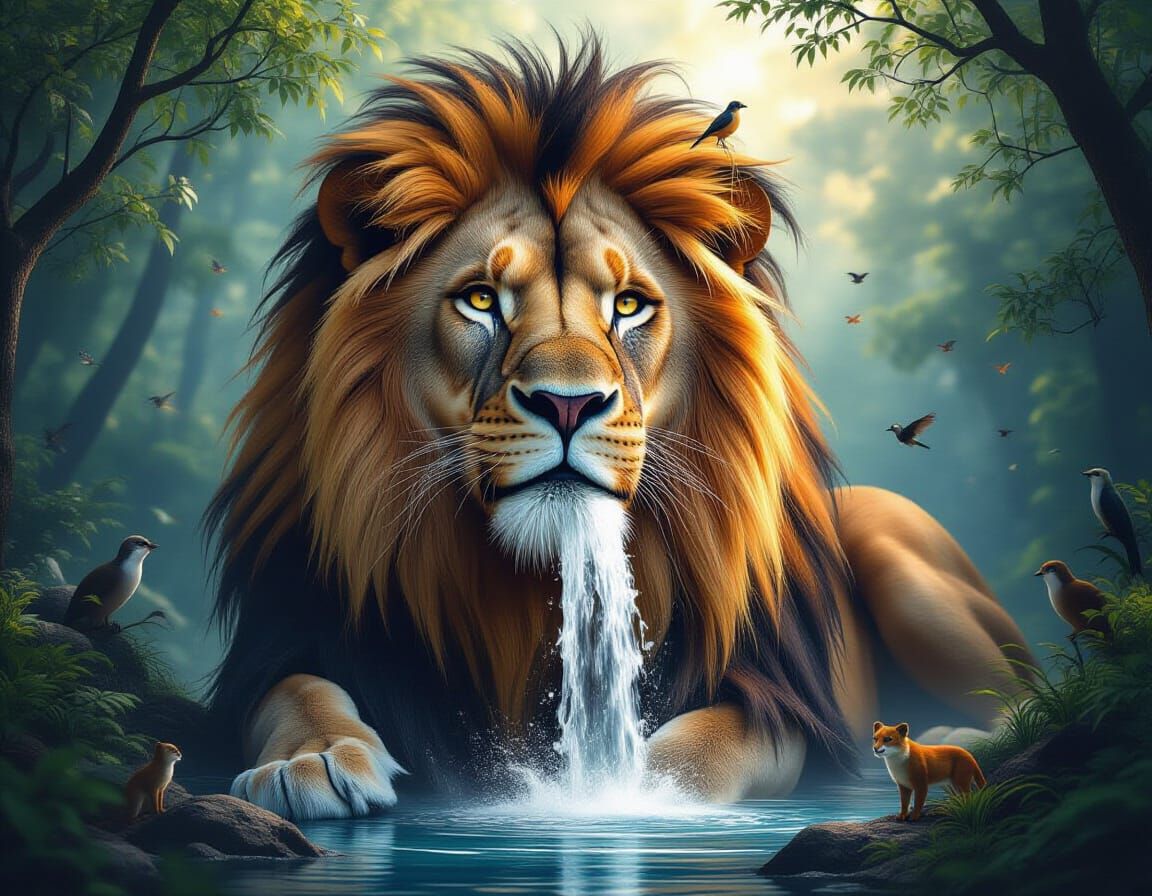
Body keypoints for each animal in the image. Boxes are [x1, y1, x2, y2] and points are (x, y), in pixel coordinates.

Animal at [207, 38, 1031, 820]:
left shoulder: (778, 701)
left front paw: (634, 794)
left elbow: (702, 744)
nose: (568, 405)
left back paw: (960, 738)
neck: (519, 595)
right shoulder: (286, 631)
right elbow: (297, 690)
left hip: (905, 562)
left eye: (629, 305)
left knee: (1024, 688)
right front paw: (313, 759)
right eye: (481, 299)